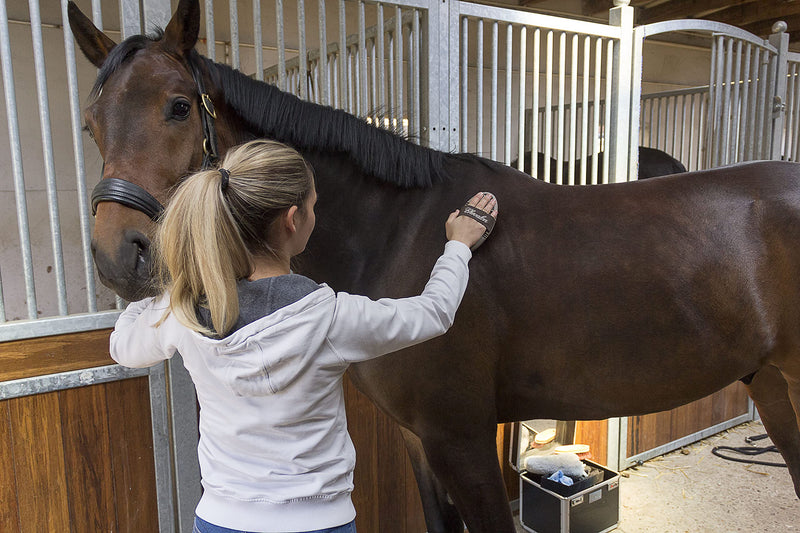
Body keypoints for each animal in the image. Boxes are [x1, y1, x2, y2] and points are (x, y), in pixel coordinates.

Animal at [67, 1, 800, 531]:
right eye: (91, 122)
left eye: (178, 106)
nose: (119, 255)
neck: (397, 235)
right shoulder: (420, 440)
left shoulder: (463, 437)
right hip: (771, 384)